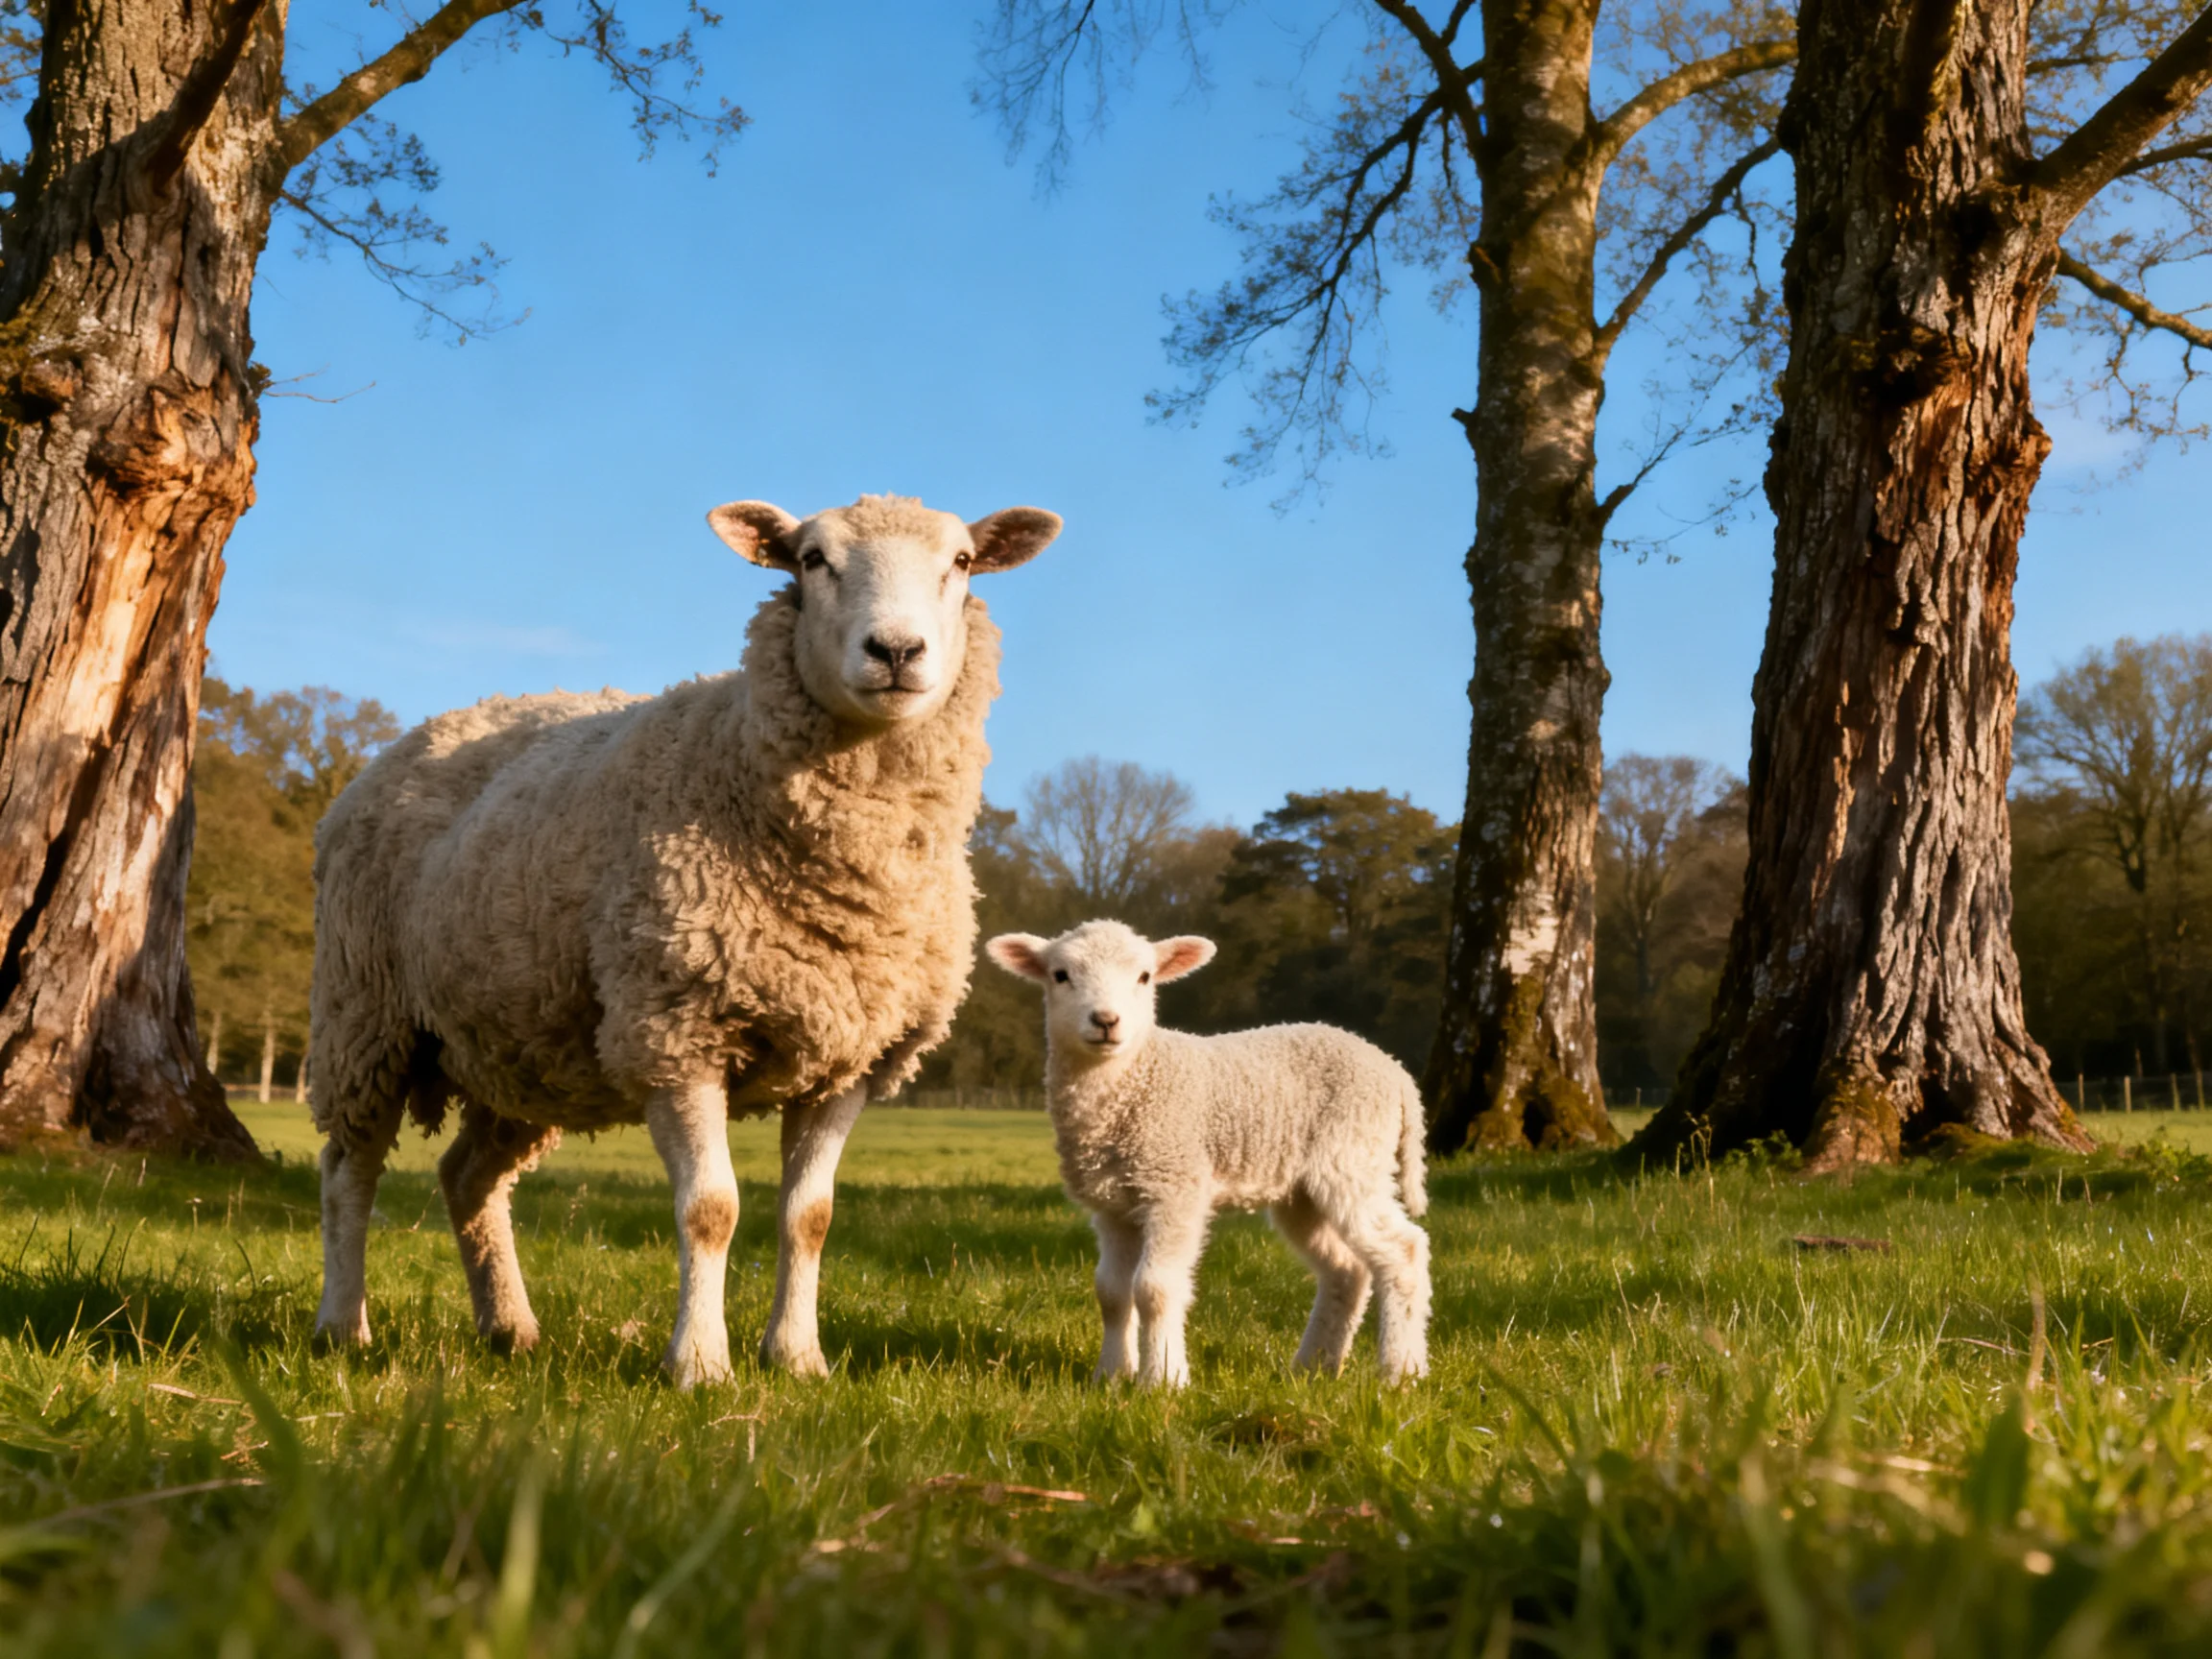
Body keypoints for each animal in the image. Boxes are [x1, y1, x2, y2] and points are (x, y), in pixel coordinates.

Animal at [308, 493, 1062, 1387]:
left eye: (962, 563)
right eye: (812, 560)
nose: (896, 650)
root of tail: (426, 729)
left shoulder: (849, 1058)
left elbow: (811, 1216)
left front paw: (798, 1357)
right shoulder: (677, 1030)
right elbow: (711, 1209)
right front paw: (700, 1364)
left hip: (525, 1042)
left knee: (468, 1177)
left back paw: (509, 1327)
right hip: (365, 1012)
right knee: (348, 1171)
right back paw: (342, 1325)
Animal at [986, 920, 1431, 1387]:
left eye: (1144, 977)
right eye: (1060, 975)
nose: (1106, 1020)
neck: (1130, 1083)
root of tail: (1395, 1071)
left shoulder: (1175, 1185)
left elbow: (1154, 1288)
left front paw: (1163, 1380)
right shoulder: (1112, 1205)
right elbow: (1110, 1291)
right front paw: (1110, 1377)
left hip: (1354, 1155)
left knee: (1404, 1251)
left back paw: (1402, 1372)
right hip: (1305, 1191)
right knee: (1346, 1269)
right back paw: (1313, 1367)